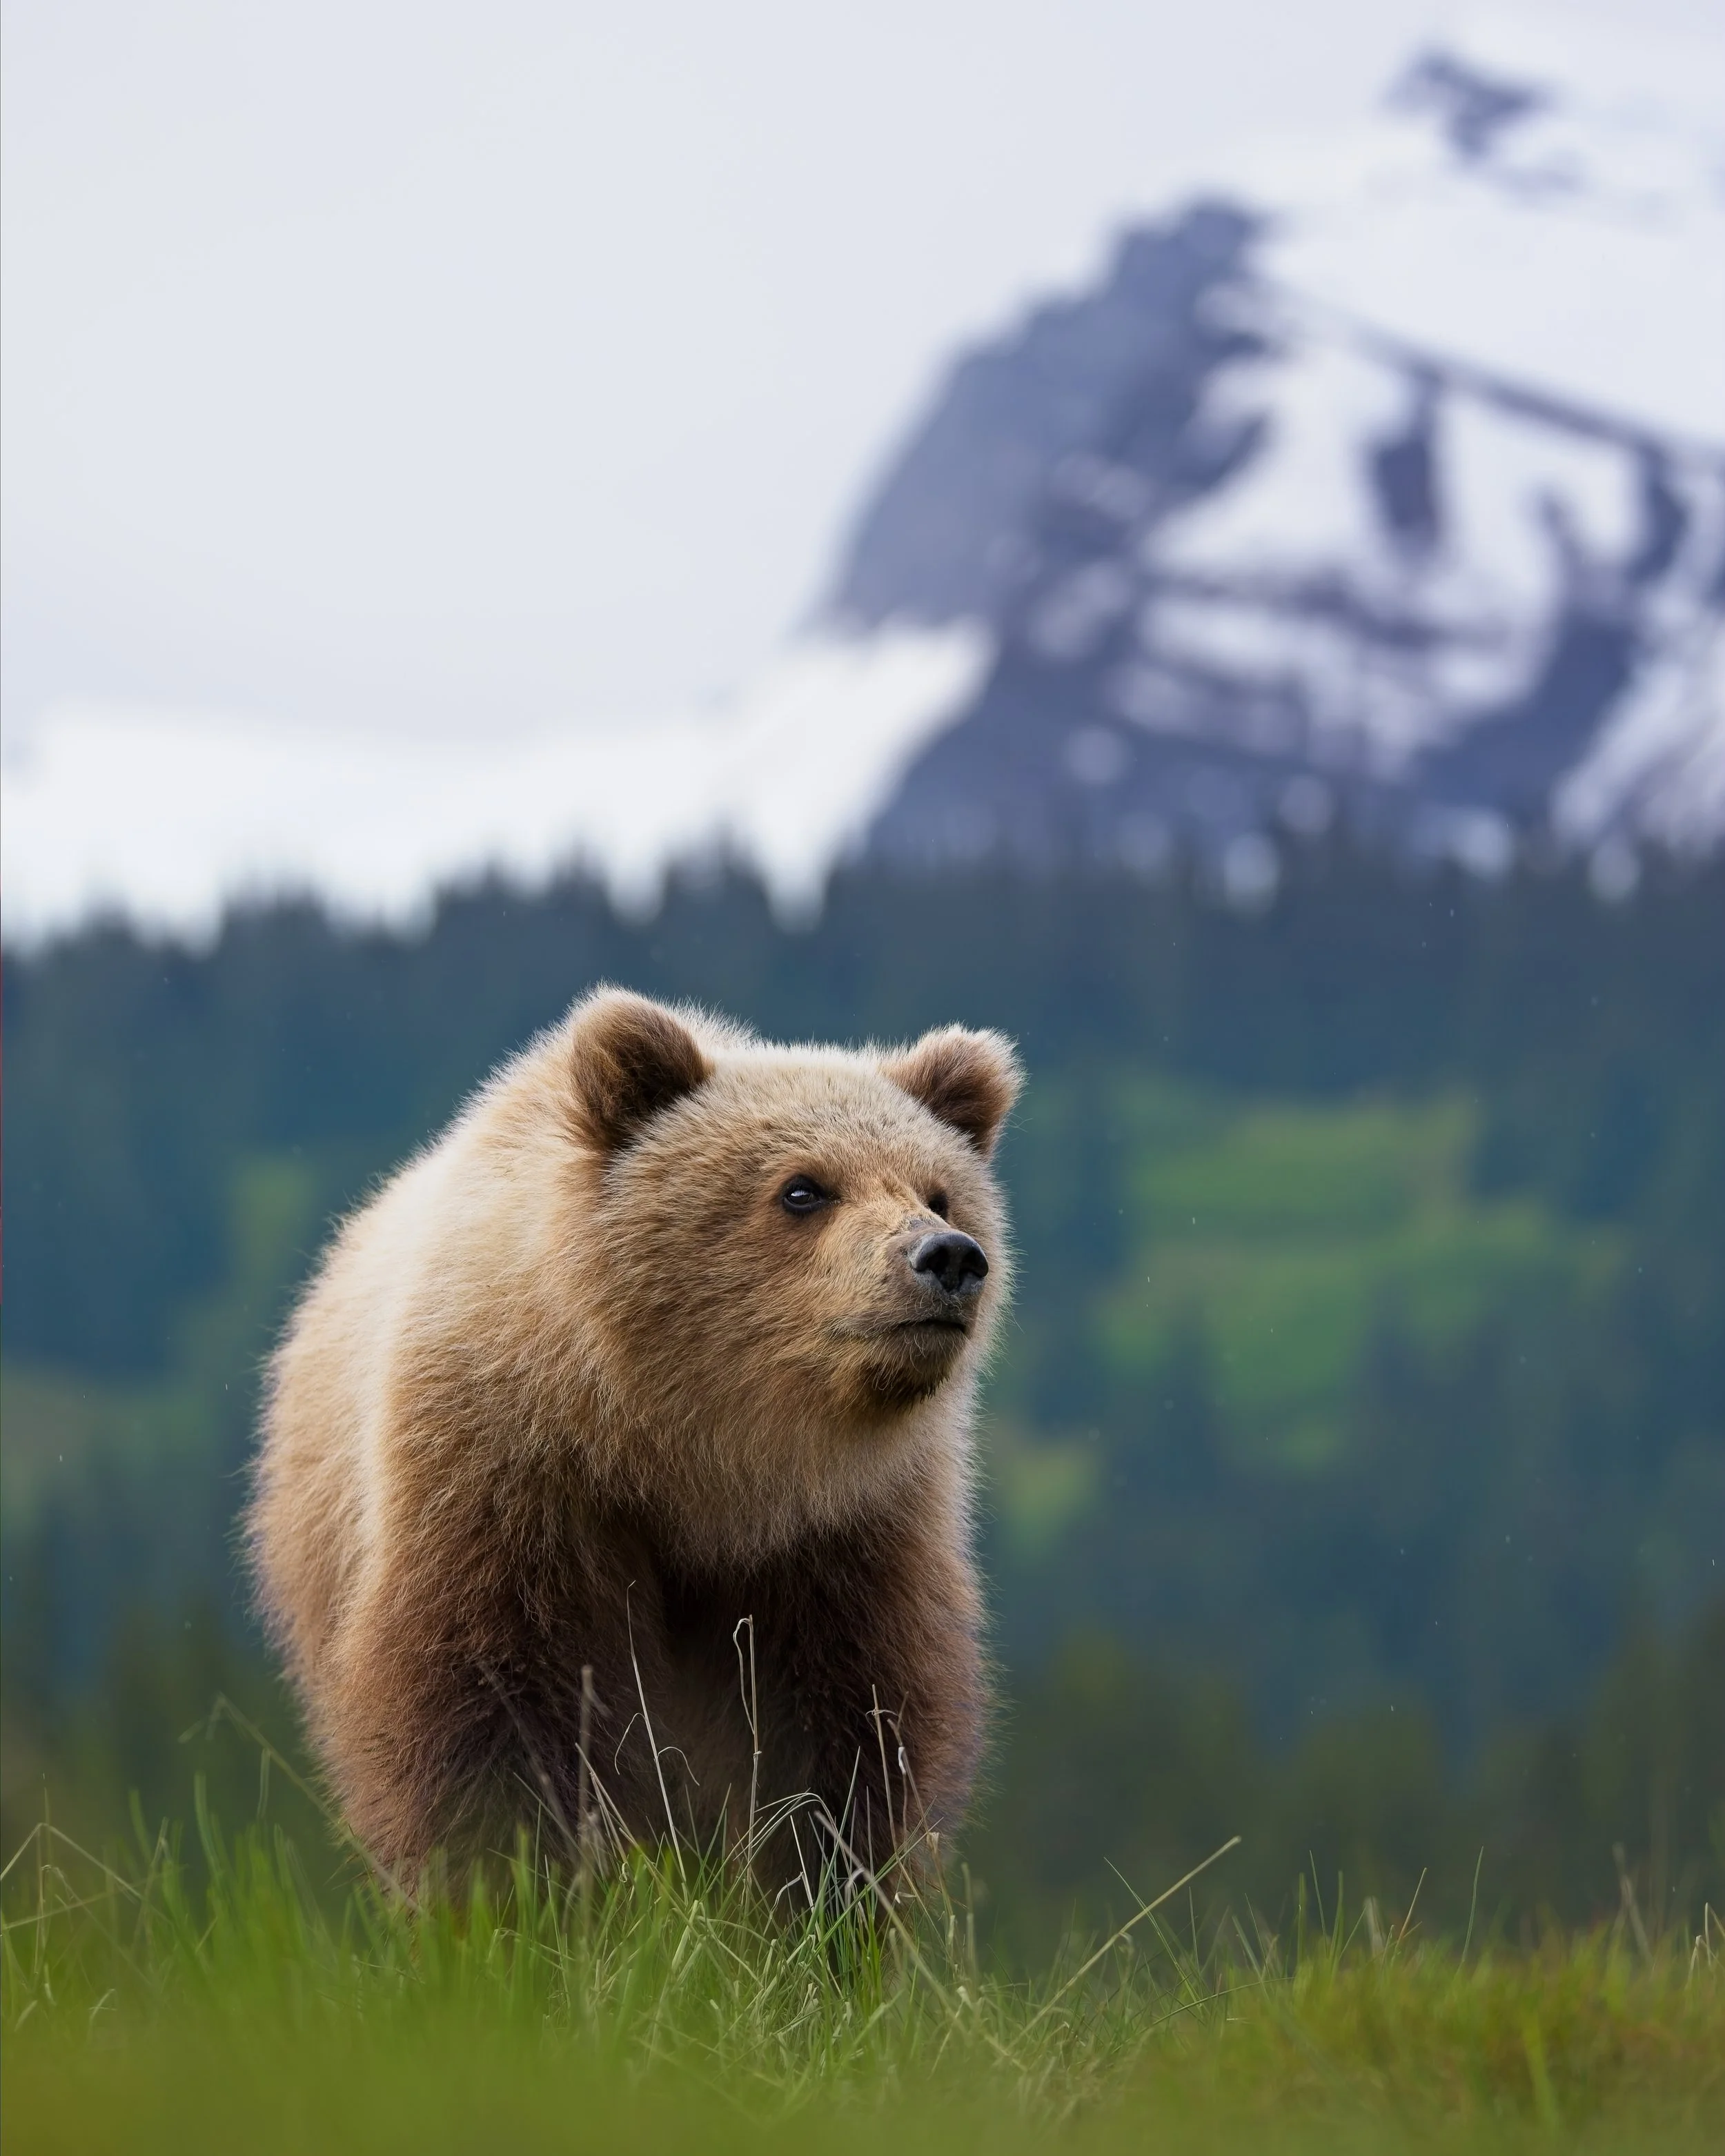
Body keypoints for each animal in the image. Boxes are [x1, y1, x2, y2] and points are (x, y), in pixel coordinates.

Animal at [248, 987, 1021, 1881]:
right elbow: (496, 1700)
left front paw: (818, 1890)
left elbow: (843, 1730)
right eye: (802, 1188)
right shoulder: (511, 1480)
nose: (948, 1256)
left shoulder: (845, 1537)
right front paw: (519, 1882)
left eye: (939, 1192)